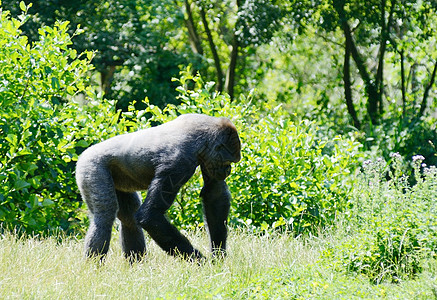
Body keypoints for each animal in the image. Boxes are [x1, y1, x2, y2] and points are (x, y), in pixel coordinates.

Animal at [76, 113, 240, 262]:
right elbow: (151, 215)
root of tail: (84, 153)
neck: (203, 137)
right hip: (90, 166)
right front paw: (200, 262)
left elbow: (214, 195)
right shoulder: (178, 163)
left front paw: (218, 255)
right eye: (227, 162)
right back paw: (93, 267)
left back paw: (137, 265)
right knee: (104, 217)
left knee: (129, 217)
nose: (228, 170)